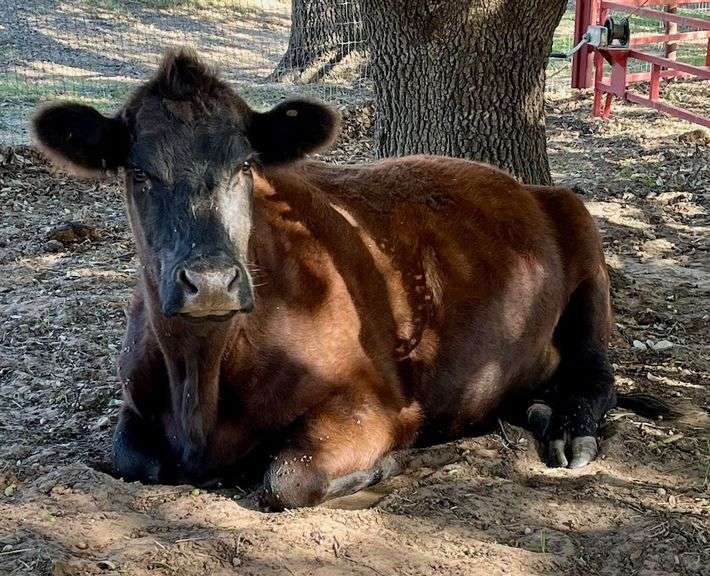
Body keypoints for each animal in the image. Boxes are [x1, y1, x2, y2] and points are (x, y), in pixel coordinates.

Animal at [32, 48, 642, 510]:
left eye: (245, 165)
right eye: (138, 172)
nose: (210, 281)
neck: (201, 376)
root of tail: (525, 185)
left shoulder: (374, 401)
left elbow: (286, 478)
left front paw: (388, 464)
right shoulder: (136, 406)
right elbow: (133, 461)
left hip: (584, 249)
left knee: (597, 373)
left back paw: (567, 428)